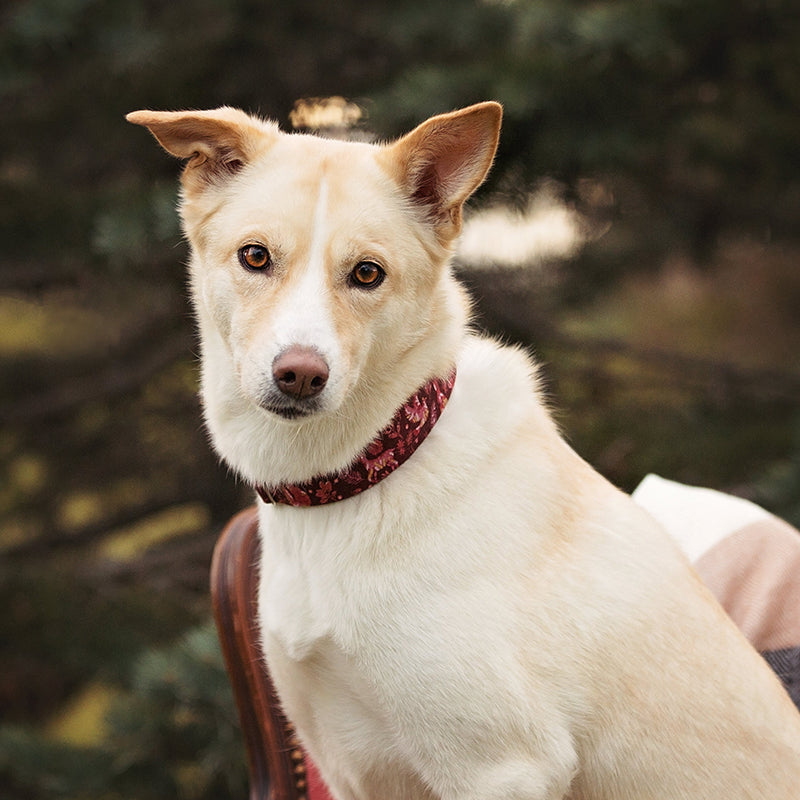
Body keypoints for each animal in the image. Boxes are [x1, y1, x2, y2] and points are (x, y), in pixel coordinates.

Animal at [130, 103, 800, 796]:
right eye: (255, 256)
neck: (358, 478)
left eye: (367, 273)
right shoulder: (344, 766)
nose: (300, 375)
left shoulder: (501, 765)